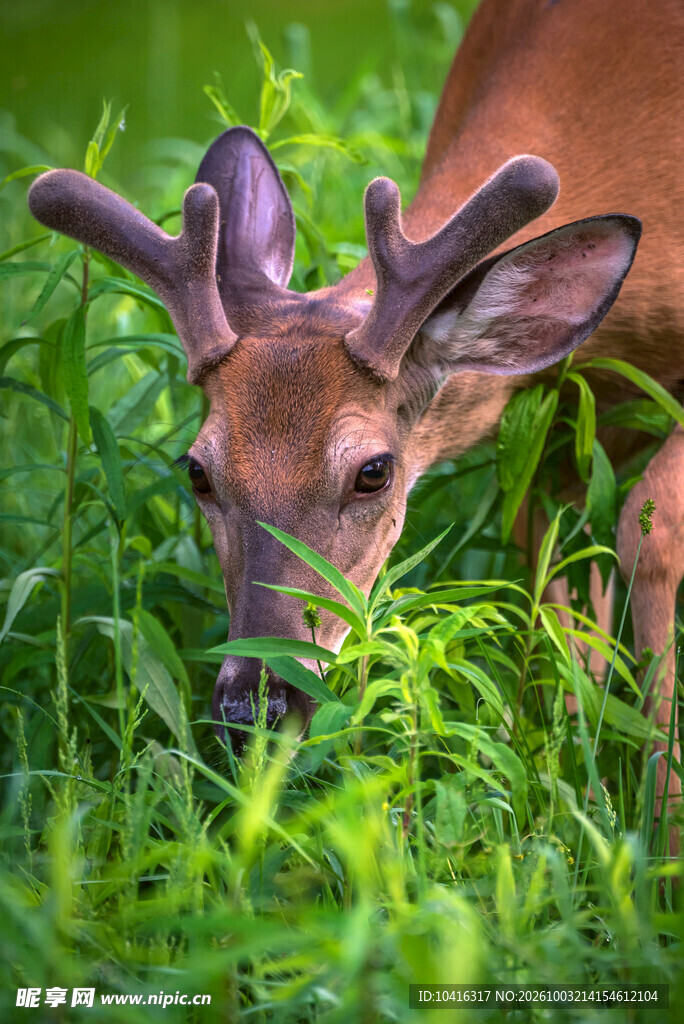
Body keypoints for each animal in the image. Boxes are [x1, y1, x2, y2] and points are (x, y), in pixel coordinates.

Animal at [27, 0, 683, 822]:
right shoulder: (553, 409)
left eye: (374, 471)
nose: (257, 709)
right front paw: (584, 780)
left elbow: (651, 530)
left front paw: (659, 823)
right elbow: (548, 548)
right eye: (198, 471)